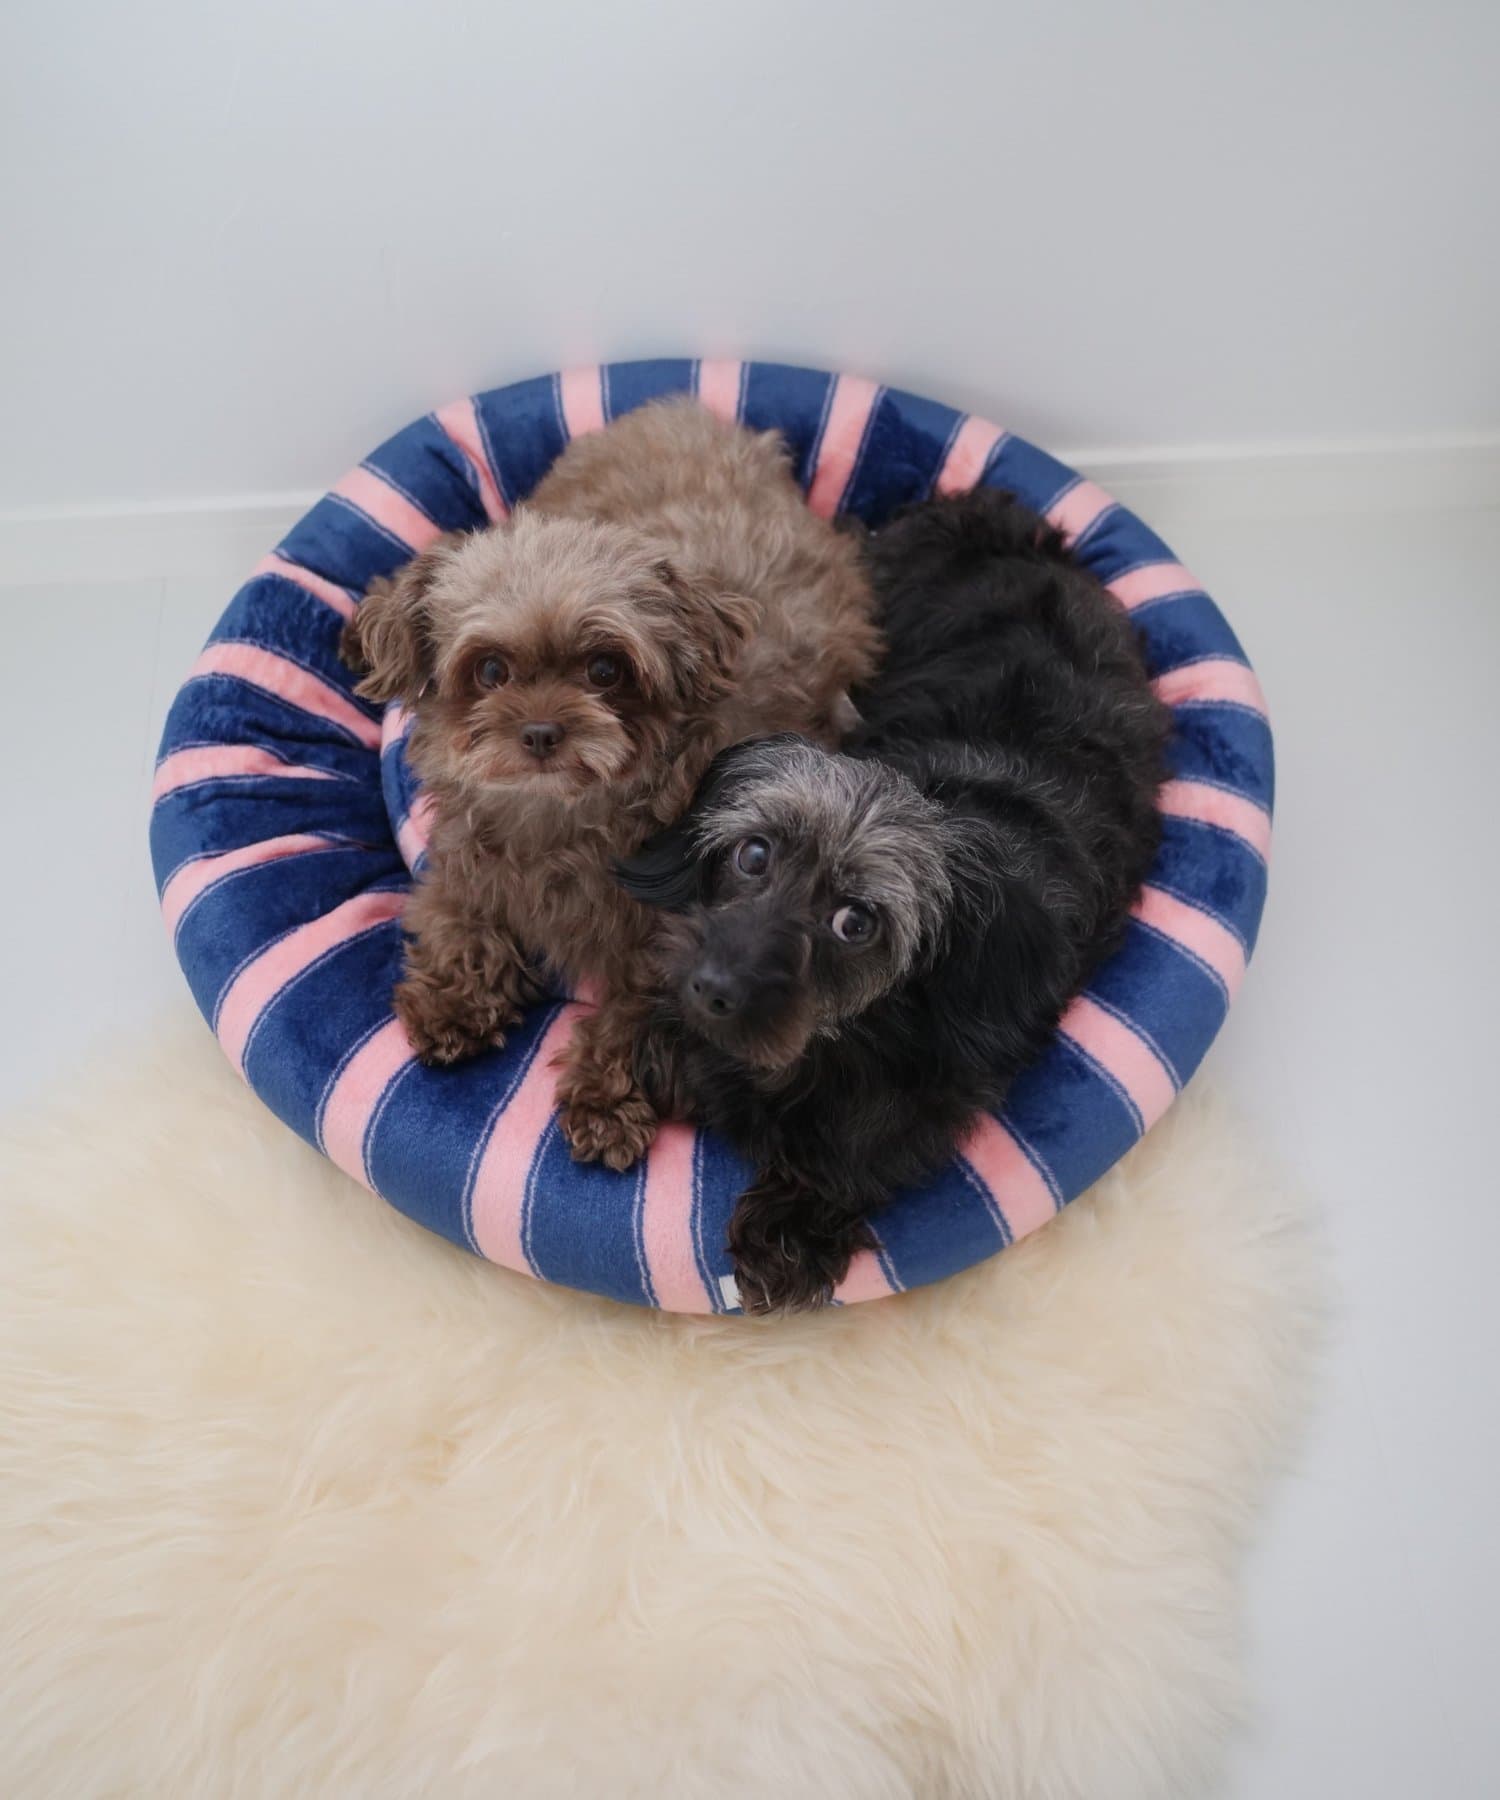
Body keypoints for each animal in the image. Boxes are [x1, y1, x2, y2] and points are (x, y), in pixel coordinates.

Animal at [341, 398, 880, 1169]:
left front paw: (604, 1097)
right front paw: (454, 1000)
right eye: (490, 670)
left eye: (604, 670)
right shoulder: (464, 865)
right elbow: (459, 919)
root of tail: (685, 410)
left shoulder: (678, 951)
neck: (559, 816)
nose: (541, 732)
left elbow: (632, 1015)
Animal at [615, 486, 1173, 1310]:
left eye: (857, 921)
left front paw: (789, 1226)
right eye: (754, 854)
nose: (713, 991)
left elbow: (870, 1143)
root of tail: (1006, 524)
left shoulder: (947, 1081)